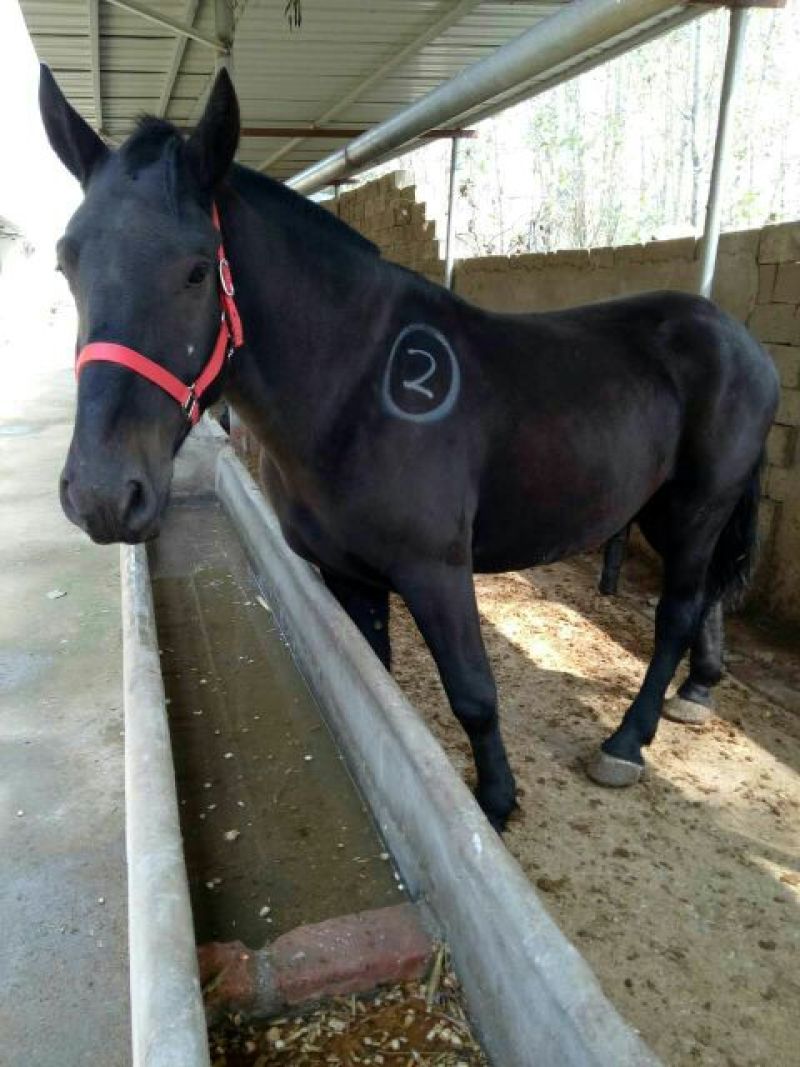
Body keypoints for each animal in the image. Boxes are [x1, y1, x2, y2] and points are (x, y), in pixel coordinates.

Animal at [40, 66, 779, 831]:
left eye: (195, 270)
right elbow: (380, 684)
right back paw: (695, 694)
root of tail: (738, 337)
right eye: (67, 264)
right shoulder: (349, 575)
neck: (357, 388)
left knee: (677, 613)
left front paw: (495, 801)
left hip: (698, 507)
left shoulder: (437, 572)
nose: (101, 493)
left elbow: (474, 695)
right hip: (668, 512)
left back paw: (627, 743)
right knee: (706, 601)